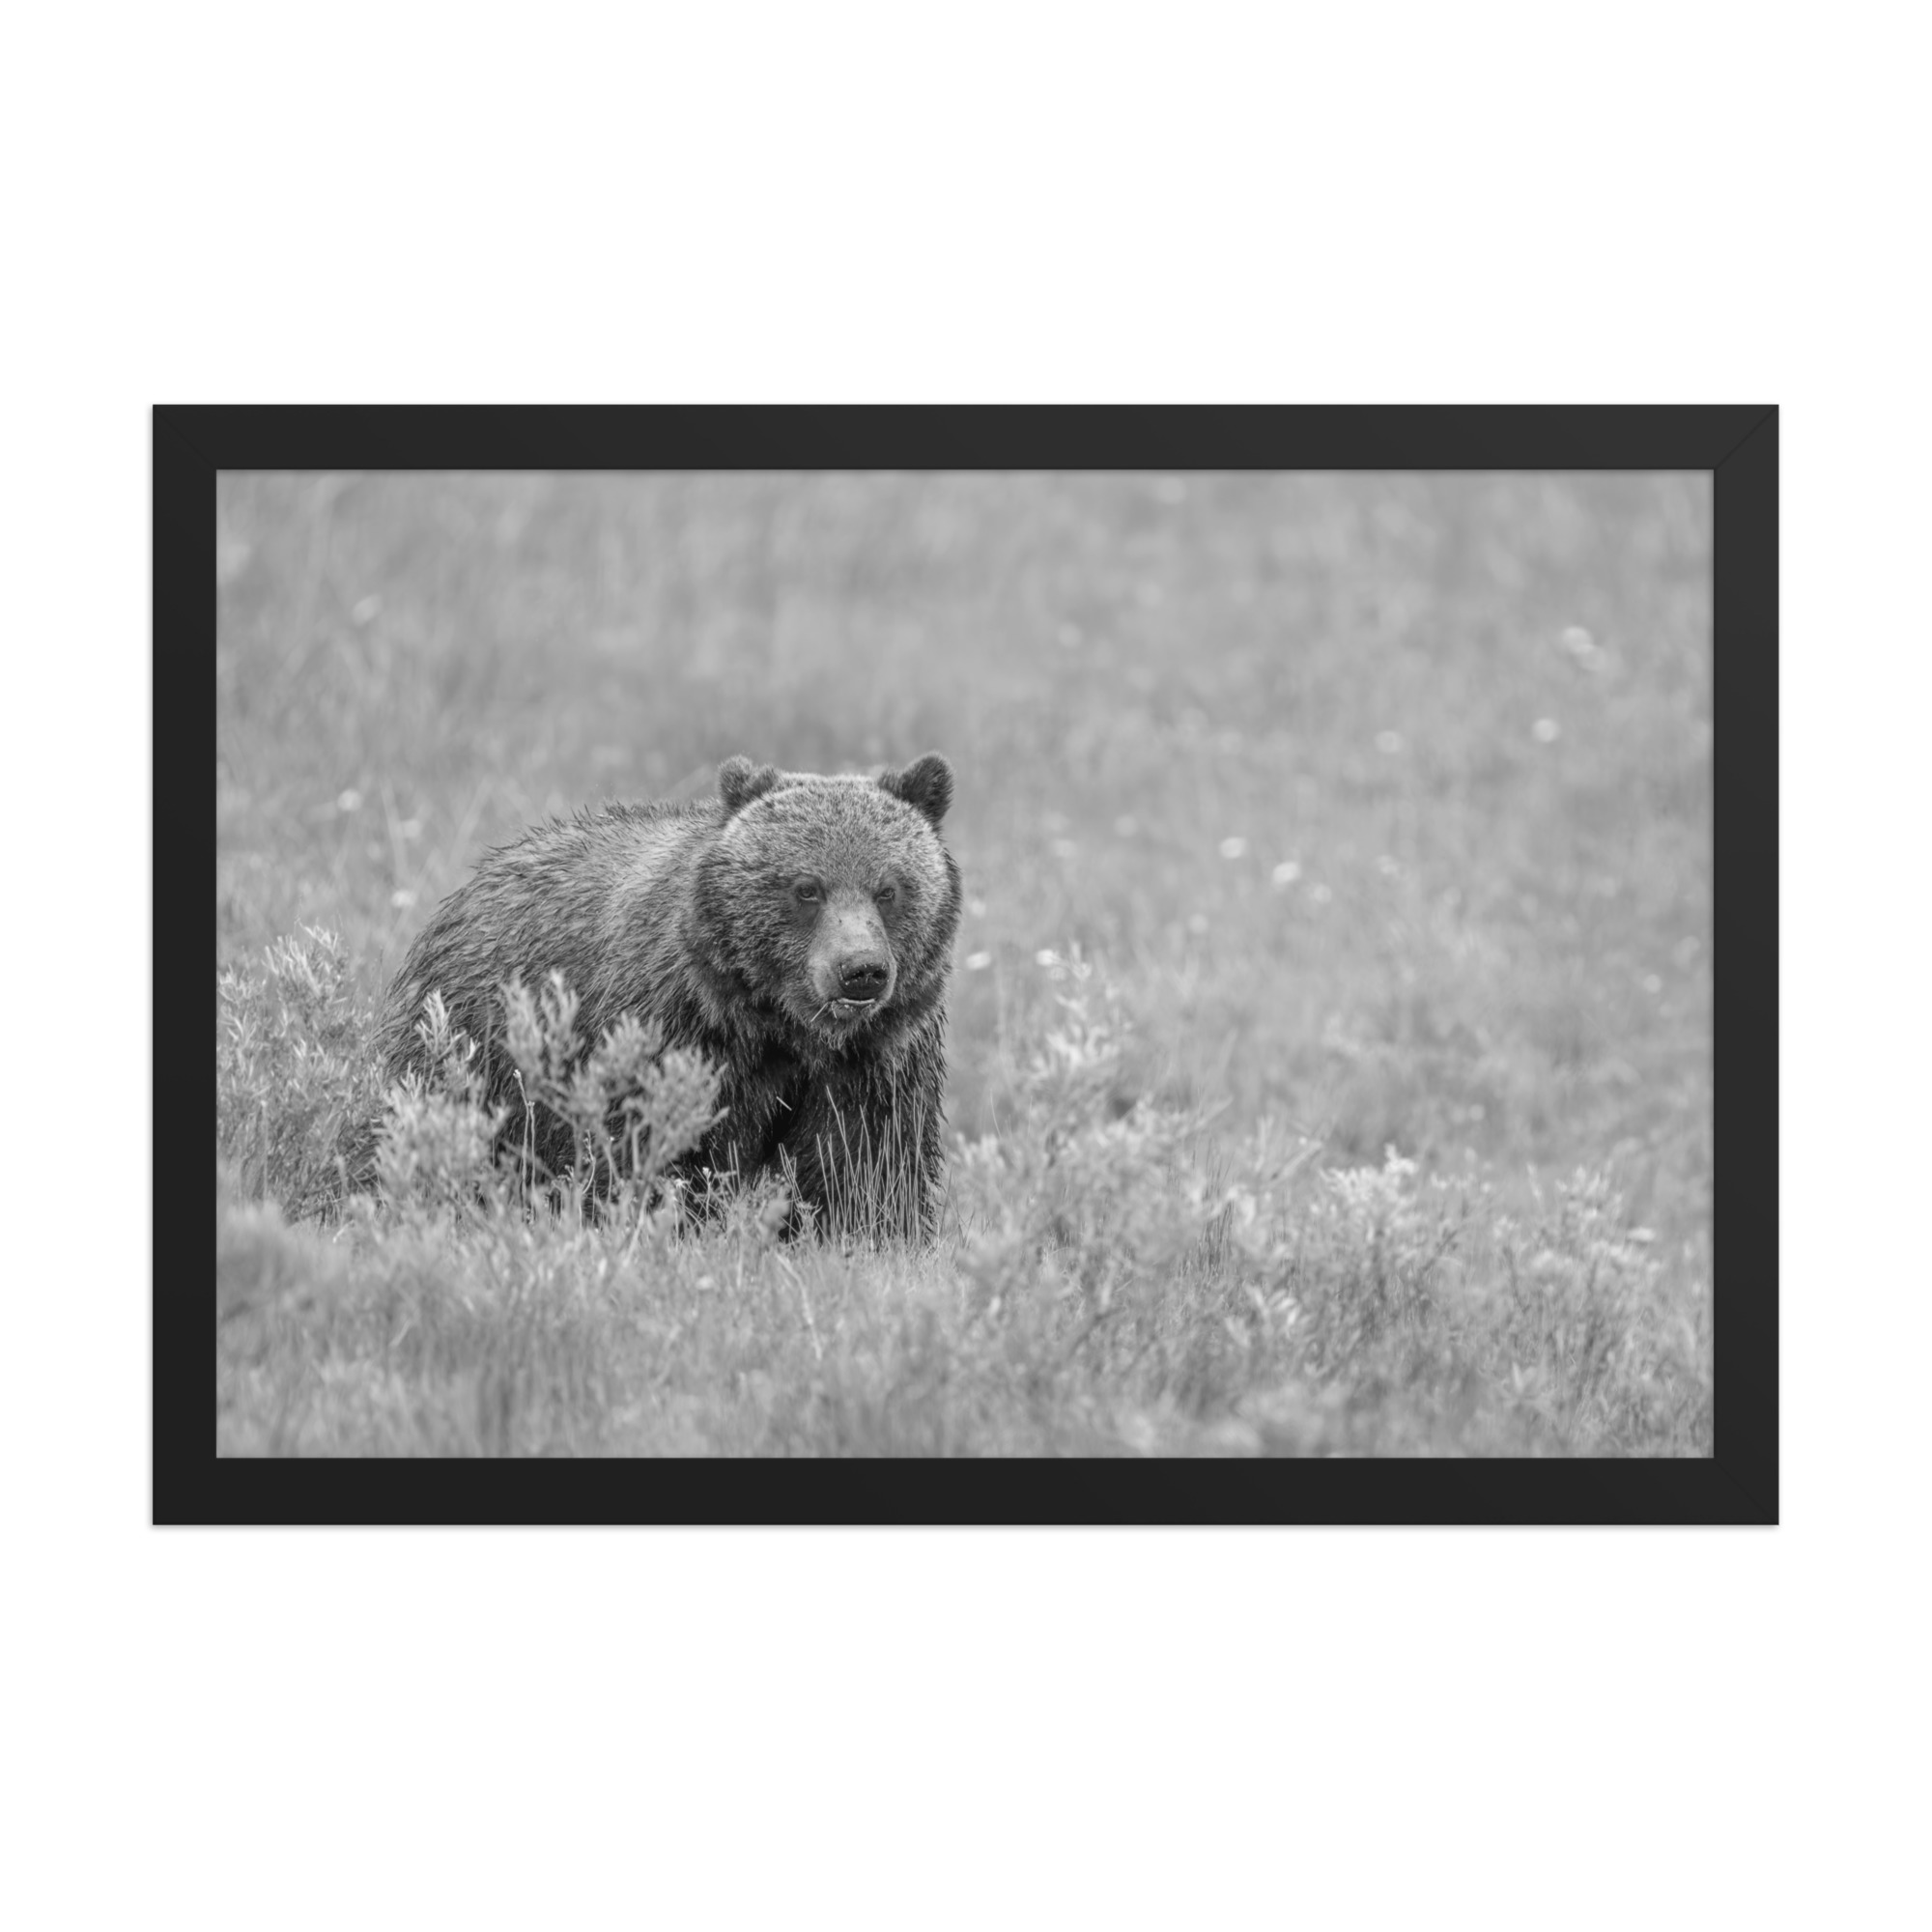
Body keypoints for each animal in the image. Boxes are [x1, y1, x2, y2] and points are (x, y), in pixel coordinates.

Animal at [371, 753, 961, 1240]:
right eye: (806, 888)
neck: (782, 1027)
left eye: (889, 888)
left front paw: (868, 1237)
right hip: (474, 1045)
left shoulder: (877, 1059)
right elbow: (654, 1148)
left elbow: (866, 1167)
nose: (860, 971)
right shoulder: (675, 1030)